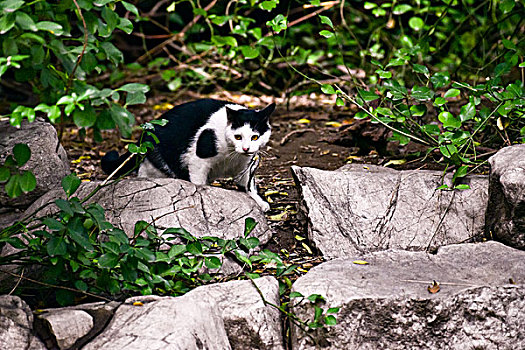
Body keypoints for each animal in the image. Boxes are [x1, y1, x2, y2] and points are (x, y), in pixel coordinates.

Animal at [100, 99, 276, 213]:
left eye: (255, 137)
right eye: (238, 136)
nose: (246, 148)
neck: (231, 155)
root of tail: (144, 134)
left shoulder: (246, 165)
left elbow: (248, 185)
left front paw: (259, 202)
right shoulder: (198, 161)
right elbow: (199, 184)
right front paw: (202, 200)